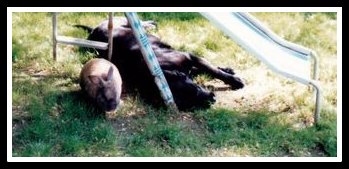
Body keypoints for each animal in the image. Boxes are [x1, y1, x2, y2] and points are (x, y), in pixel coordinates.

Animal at [76, 18, 243, 110]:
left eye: (196, 89)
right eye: (189, 103)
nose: (213, 99)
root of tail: (93, 30)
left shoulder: (190, 56)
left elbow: (213, 69)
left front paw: (234, 80)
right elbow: (205, 69)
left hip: (123, 22)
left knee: (141, 23)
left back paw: (152, 23)